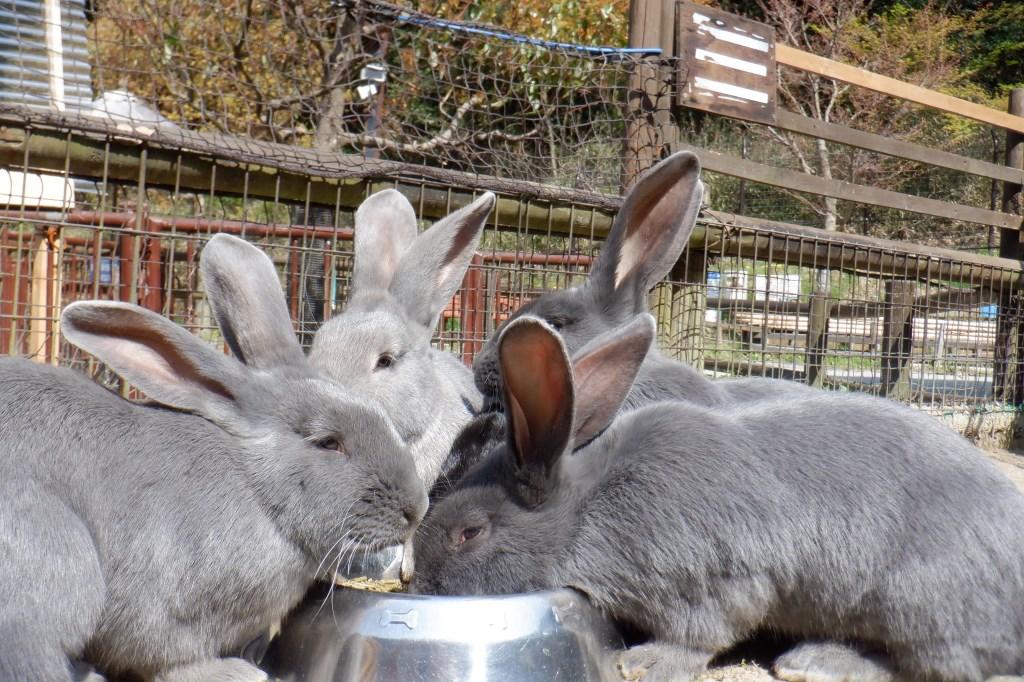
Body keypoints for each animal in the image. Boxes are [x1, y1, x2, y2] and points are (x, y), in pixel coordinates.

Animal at [0, 231, 423, 675]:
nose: (417, 509)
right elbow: (169, 661)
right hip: (55, 557)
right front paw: (233, 672)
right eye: (329, 442)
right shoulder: (163, 613)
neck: (256, 488)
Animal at [411, 315, 1024, 679]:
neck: (587, 509)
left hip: (919, 606)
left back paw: (814, 662)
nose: (419, 583)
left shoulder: (715, 581)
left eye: (470, 532)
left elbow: (703, 633)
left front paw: (644, 662)